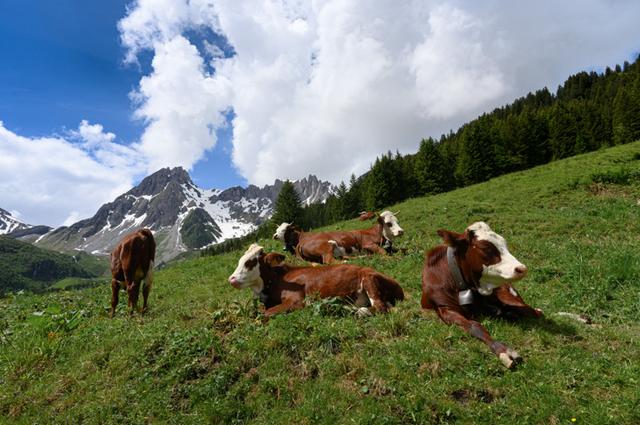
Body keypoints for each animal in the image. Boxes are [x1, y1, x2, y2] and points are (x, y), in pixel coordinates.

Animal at [228, 243, 402, 316]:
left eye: (250, 262)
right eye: (240, 260)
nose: (231, 279)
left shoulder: (297, 300)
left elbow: (265, 314)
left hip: (368, 279)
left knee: (379, 307)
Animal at [272, 210, 402, 264]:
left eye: (397, 221)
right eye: (388, 223)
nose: (401, 231)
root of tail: (302, 243)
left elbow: (401, 249)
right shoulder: (367, 244)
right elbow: (383, 252)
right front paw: (392, 258)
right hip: (327, 246)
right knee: (330, 261)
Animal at [422, 222, 544, 368]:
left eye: (504, 243)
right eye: (485, 248)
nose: (522, 269)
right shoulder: (445, 309)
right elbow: (475, 326)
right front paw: (503, 350)